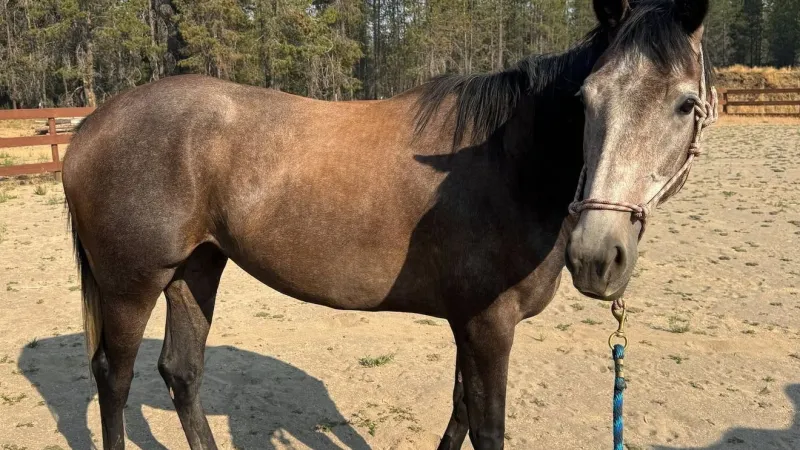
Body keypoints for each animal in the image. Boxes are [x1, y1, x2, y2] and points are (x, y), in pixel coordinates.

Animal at [62, 0, 716, 448]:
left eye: (685, 104)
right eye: (586, 100)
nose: (597, 256)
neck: (507, 160)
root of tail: (89, 126)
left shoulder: (470, 326)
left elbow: (459, 414)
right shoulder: (488, 326)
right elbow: (486, 427)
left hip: (195, 268)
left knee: (182, 373)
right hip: (131, 285)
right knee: (114, 379)